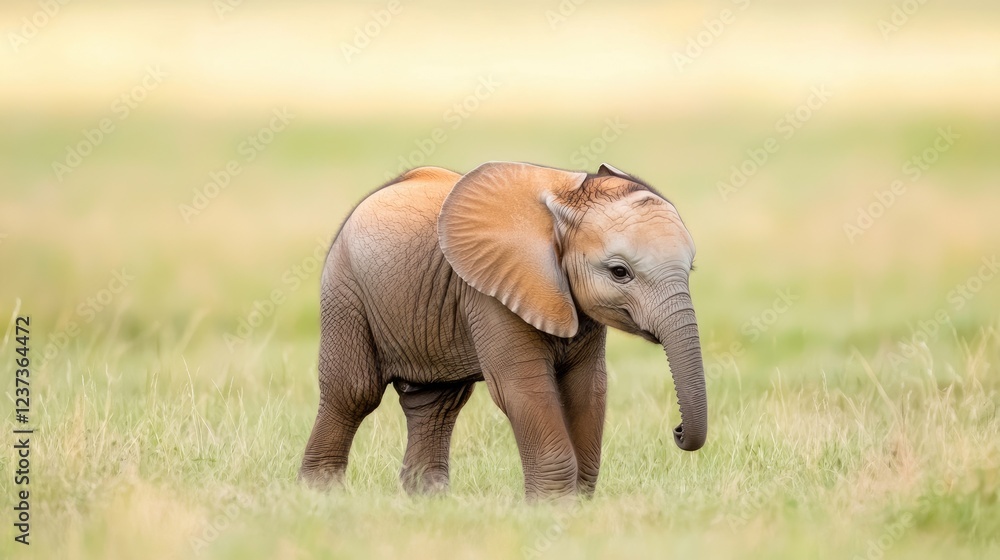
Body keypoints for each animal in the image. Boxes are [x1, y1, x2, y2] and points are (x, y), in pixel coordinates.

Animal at [299, 161, 707, 499]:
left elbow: (587, 387)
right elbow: (523, 389)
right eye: (620, 272)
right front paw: (551, 508)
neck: (562, 203)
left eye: (691, 268)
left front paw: (577, 505)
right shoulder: (492, 291)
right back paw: (322, 496)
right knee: (354, 392)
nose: (677, 431)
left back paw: (428, 501)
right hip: (345, 287)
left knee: (436, 403)